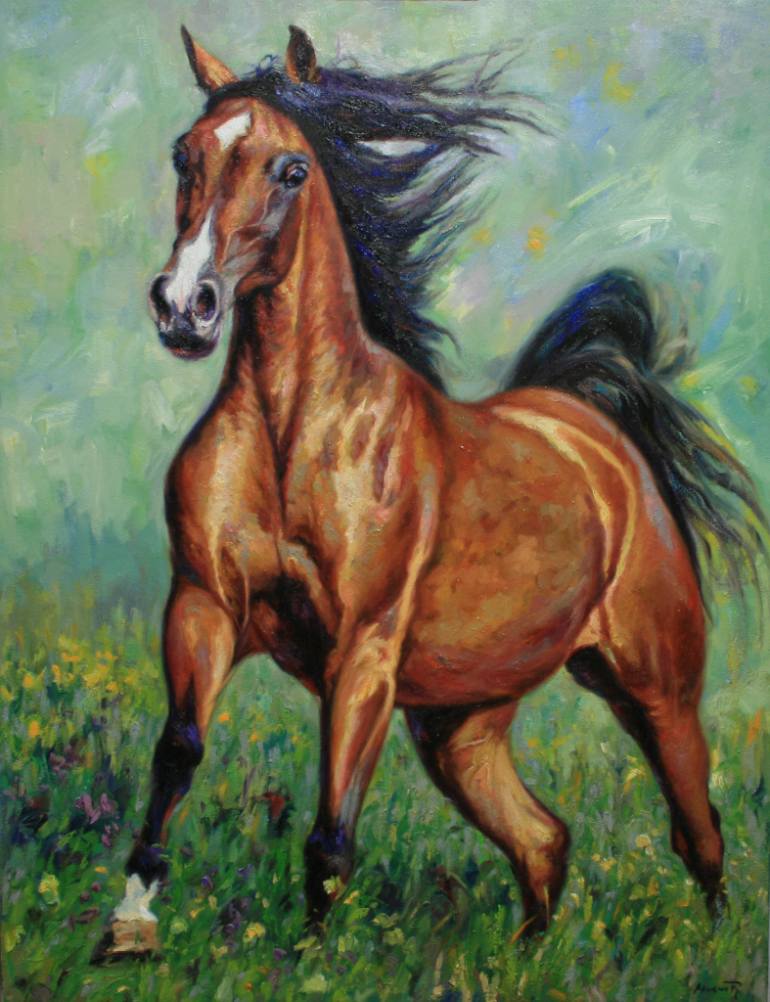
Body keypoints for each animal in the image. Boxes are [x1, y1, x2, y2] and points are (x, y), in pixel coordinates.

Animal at [94, 25, 764, 960]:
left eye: (290, 170)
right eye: (184, 155)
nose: (185, 306)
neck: (293, 434)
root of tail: (594, 433)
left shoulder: (364, 653)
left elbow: (331, 828)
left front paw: (309, 964)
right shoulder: (203, 605)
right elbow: (178, 751)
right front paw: (131, 923)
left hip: (656, 690)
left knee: (697, 830)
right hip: (460, 726)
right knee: (544, 840)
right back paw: (523, 963)